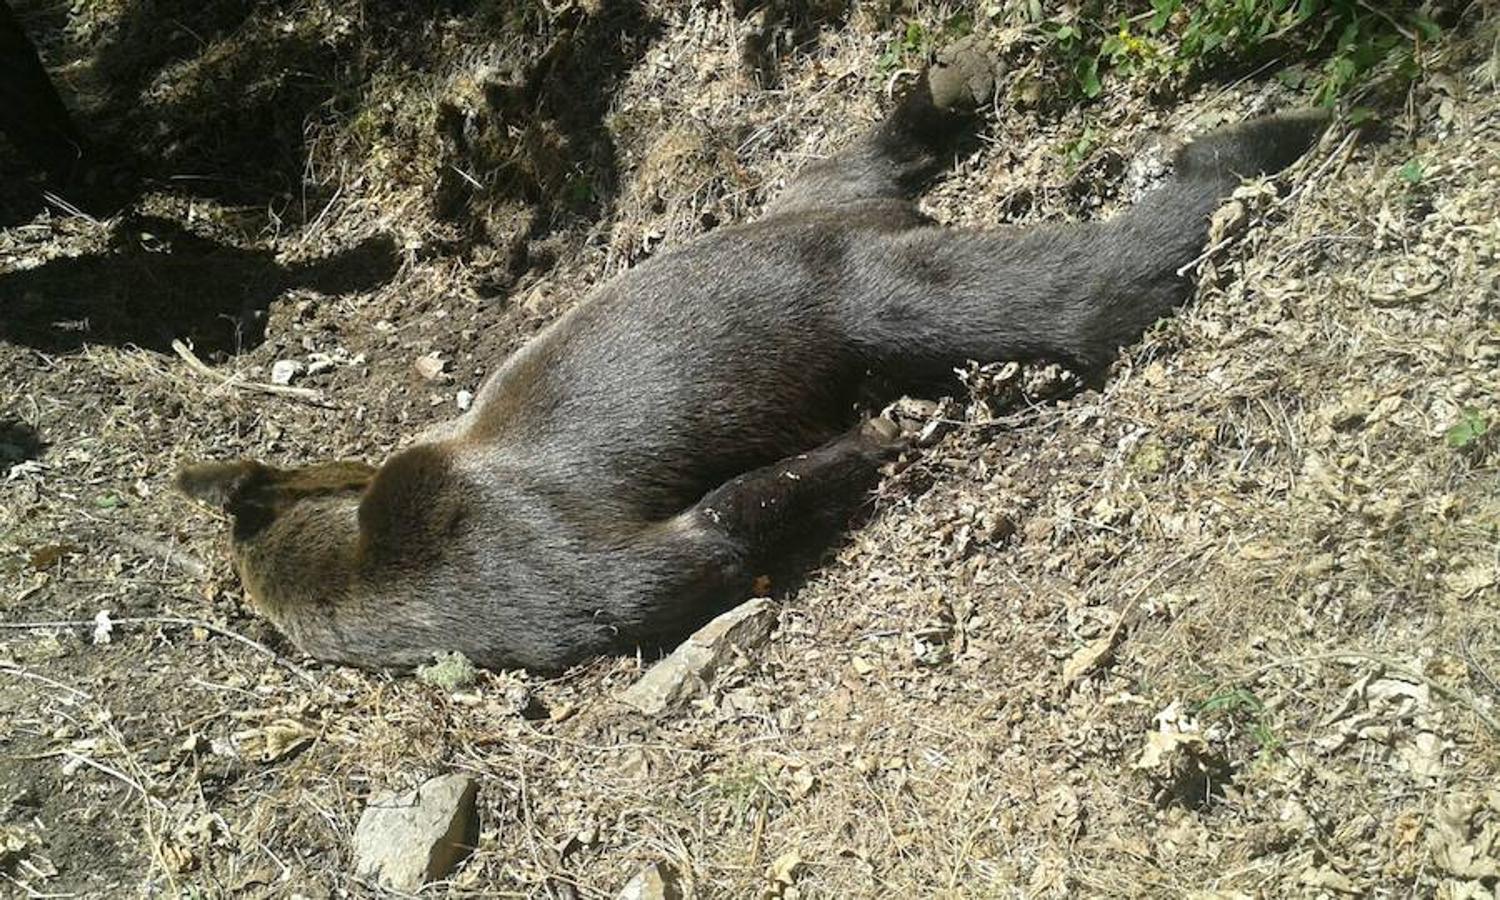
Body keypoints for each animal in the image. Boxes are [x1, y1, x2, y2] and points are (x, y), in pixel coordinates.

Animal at [175, 70, 1326, 672]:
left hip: (834, 246)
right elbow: (718, 532)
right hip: (860, 265)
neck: (363, 565)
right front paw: (869, 438)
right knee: (1023, 268)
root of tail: (874, 225)